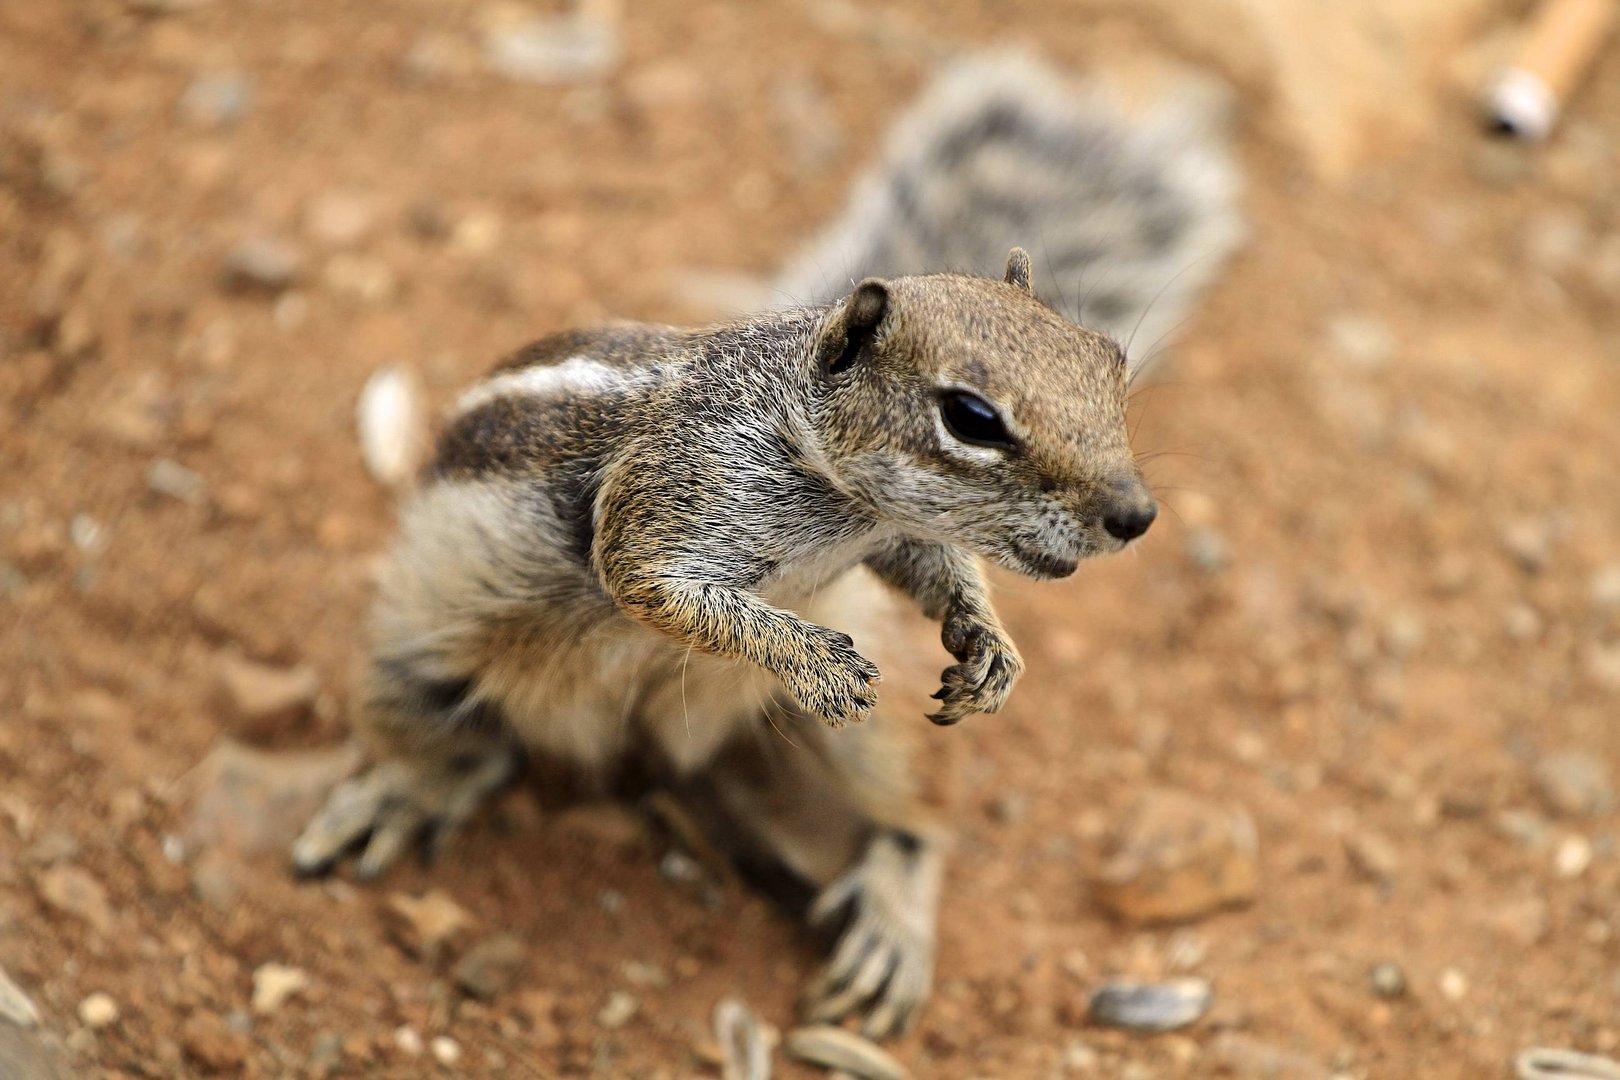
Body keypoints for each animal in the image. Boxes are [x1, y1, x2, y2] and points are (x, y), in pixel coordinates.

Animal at [291, 48, 1237, 1036]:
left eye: (1110, 360)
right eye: (971, 417)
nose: (1136, 516)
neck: (824, 473)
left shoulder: (889, 538)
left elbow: (936, 571)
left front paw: (990, 646)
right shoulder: (667, 499)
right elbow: (660, 589)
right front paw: (815, 660)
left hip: (872, 742)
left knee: (913, 824)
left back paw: (890, 929)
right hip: (417, 654)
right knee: (453, 747)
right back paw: (402, 793)